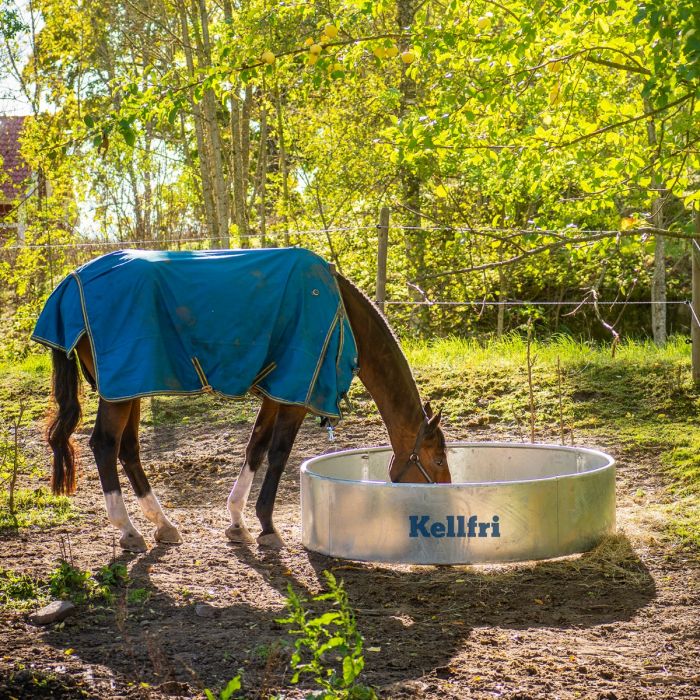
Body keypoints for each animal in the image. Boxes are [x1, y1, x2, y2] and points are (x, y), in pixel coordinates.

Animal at [42, 252, 448, 552]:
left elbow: (256, 447)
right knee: (105, 445)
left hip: (129, 388)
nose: (441, 503)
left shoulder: (276, 393)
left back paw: (162, 523)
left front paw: (238, 521)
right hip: (120, 390)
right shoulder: (294, 396)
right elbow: (279, 454)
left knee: (128, 450)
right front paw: (267, 525)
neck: (338, 311)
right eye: (439, 459)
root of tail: (72, 281)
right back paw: (127, 529)